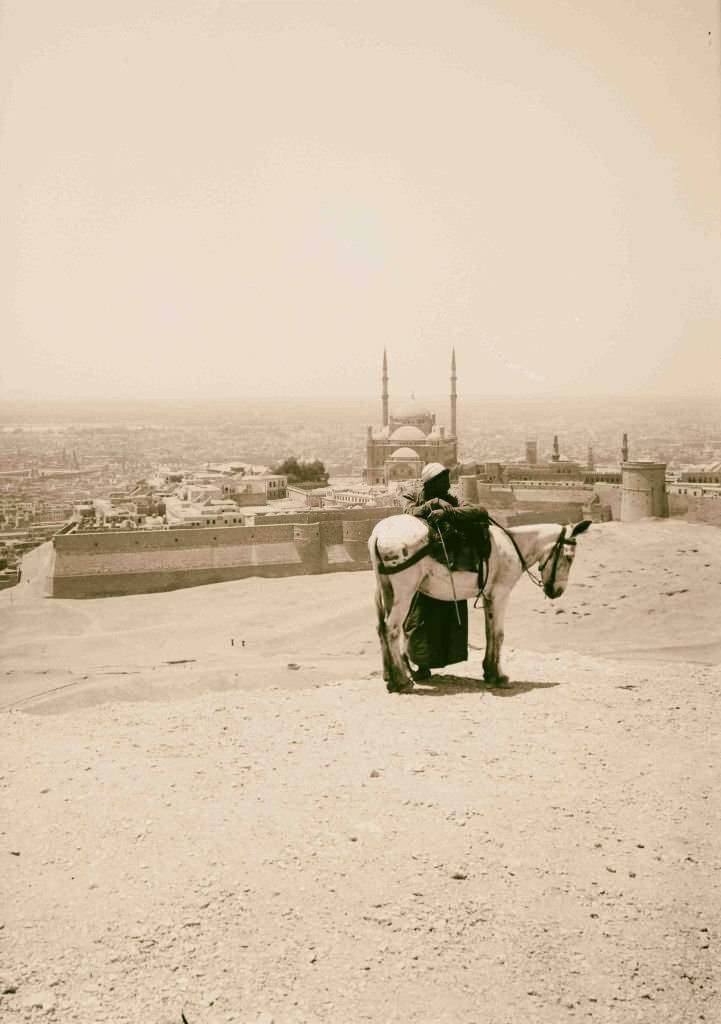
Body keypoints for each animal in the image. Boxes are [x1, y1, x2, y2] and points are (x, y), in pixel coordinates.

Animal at [368, 516, 589, 692]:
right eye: (569, 557)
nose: (557, 591)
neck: (512, 546)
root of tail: (378, 534)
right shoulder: (500, 595)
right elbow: (498, 635)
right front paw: (499, 677)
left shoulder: (488, 597)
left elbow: (489, 632)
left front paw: (488, 672)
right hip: (404, 594)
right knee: (391, 629)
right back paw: (401, 681)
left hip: (386, 590)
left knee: (380, 628)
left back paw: (389, 676)